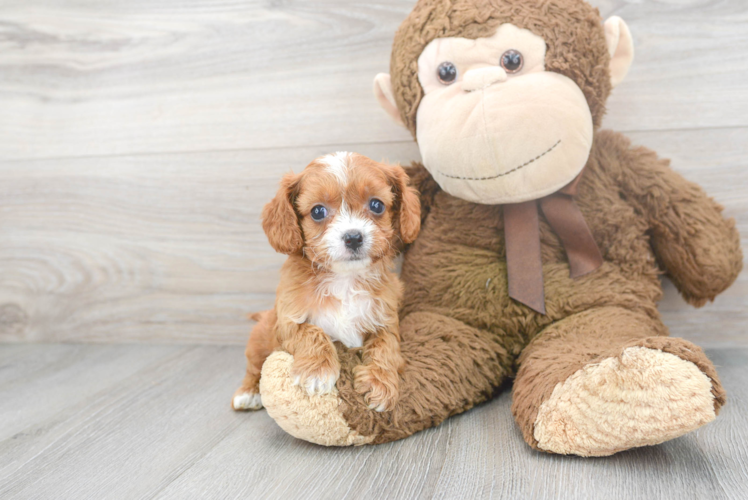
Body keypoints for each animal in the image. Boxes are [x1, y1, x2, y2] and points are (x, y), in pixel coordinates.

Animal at [232, 152, 420, 414]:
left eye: (377, 205)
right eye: (318, 211)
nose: (353, 237)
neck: (344, 279)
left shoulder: (386, 318)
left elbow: (386, 346)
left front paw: (380, 383)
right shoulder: (287, 323)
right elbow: (310, 332)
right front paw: (318, 372)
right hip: (259, 341)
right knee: (253, 368)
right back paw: (247, 393)